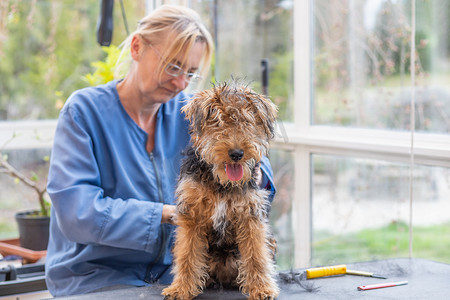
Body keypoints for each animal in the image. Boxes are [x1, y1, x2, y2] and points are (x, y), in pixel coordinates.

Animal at [162, 80, 280, 300]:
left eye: (247, 122)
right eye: (218, 121)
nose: (237, 153)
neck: (221, 183)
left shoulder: (250, 216)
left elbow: (256, 256)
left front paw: (261, 288)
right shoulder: (191, 216)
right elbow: (187, 255)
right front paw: (180, 288)